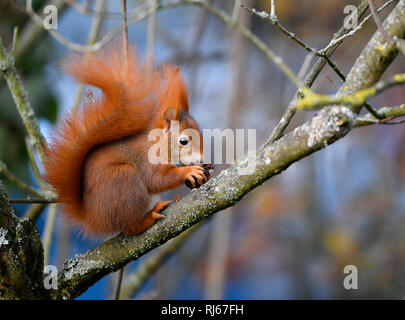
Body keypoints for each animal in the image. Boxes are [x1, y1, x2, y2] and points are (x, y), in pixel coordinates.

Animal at [42, 43, 210, 235]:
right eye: (183, 141)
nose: (201, 159)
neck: (158, 142)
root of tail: (94, 218)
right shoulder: (147, 158)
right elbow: (156, 179)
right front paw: (189, 171)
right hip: (124, 180)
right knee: (131, 226)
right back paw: (149, 216)